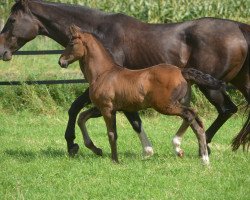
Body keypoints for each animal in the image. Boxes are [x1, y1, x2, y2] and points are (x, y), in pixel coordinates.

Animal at [59, 26, 225, 164]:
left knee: (190, 115)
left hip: (166, 106)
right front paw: (96, 149)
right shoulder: (104, 108)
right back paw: (204, 159)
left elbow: (112, 133)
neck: (103, 74)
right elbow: (82, 118)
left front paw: (115, 160)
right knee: (197, 123)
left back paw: (178, 146)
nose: (61, 61)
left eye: (71, 43)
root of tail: (182, 72)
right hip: (180, 102)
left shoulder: (106, 109)